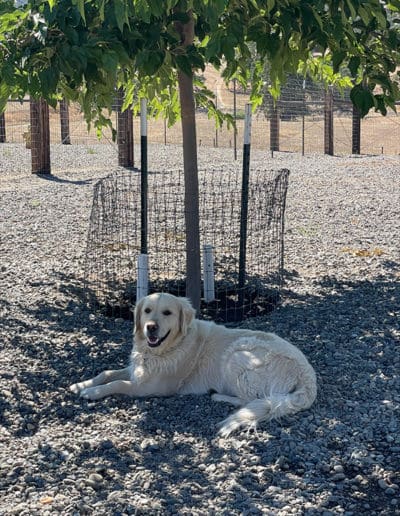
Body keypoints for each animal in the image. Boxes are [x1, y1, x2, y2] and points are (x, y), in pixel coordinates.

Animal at [70, 294, 318, 436]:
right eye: (147, 310)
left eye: (167, 312)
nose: (151, 327)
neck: (165, 349)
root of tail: (308, 378)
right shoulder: (138, 370)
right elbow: (106, 373)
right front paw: (81, 384)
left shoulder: (150, 387)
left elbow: (117, 383)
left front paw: (92, 392)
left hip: (239, 354)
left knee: (252, 399)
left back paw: (218, 396)